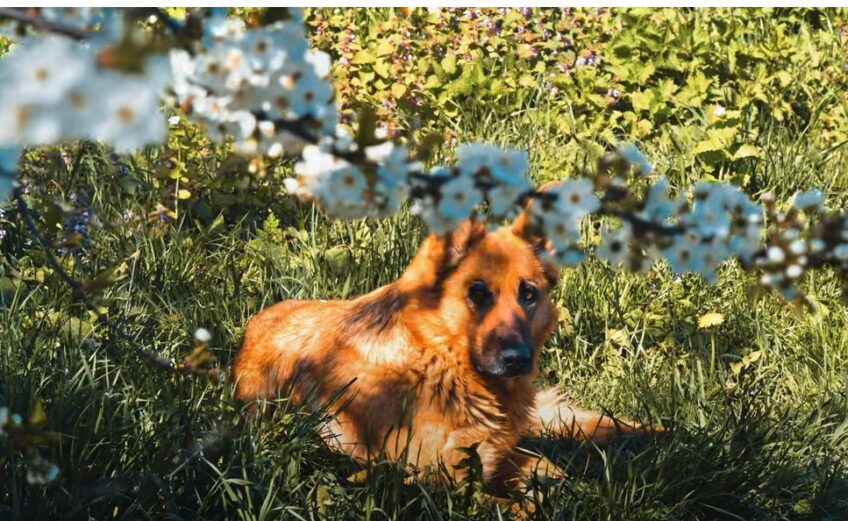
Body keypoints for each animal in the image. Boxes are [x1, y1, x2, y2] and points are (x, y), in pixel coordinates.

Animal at [234, 198, 664, 492]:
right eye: (478, 294)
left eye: (528, 294)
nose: (517, 360)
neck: (438, 356)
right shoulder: (441, 485)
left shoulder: (499, 454)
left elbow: (543, 467)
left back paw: (653, 431)